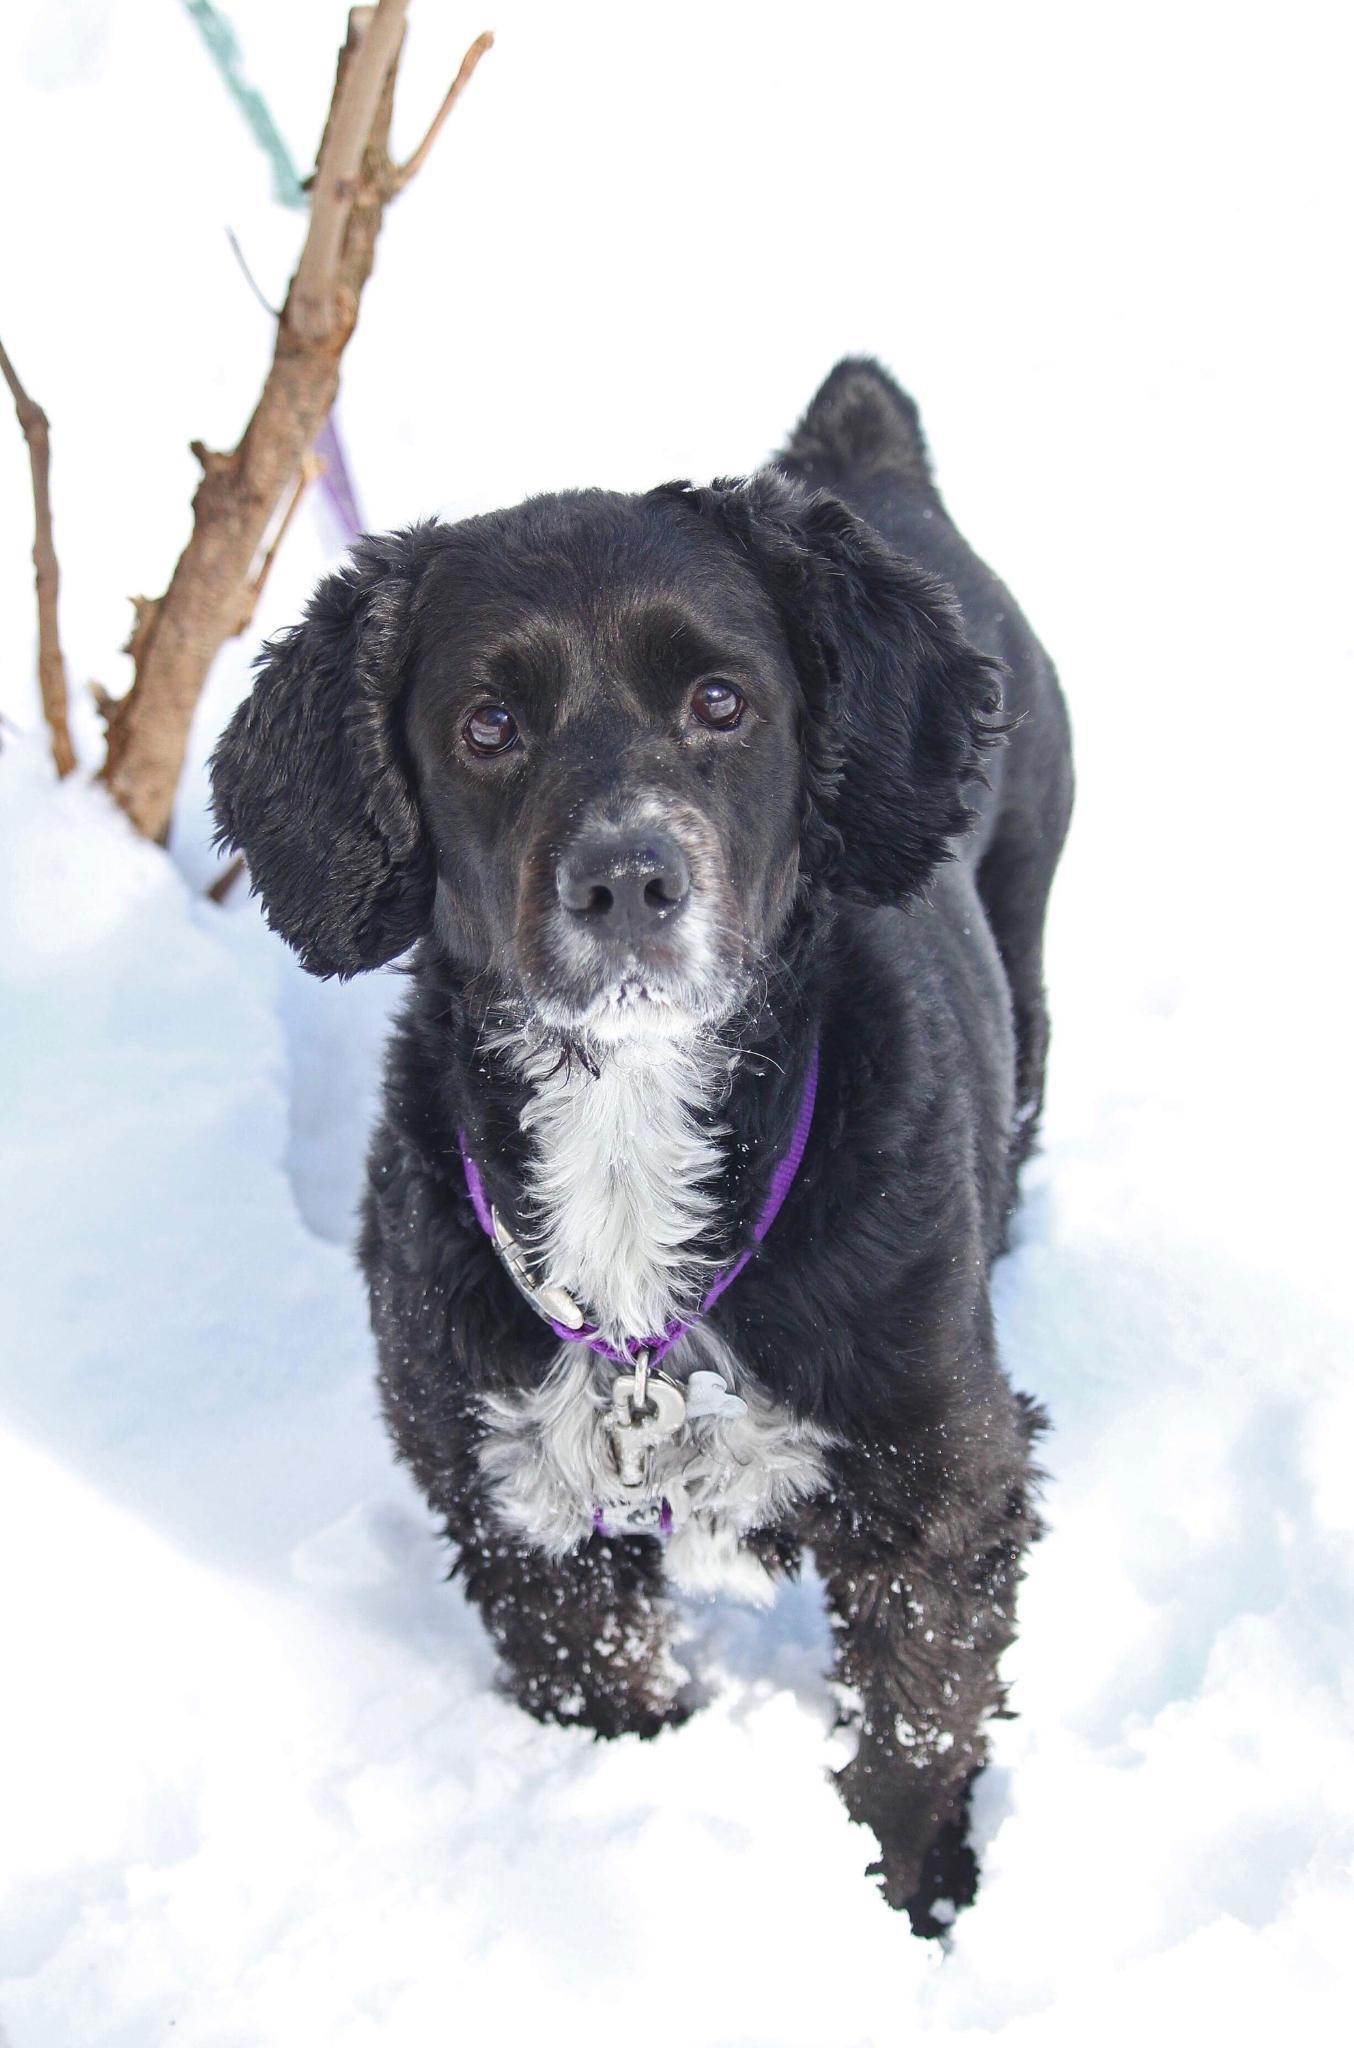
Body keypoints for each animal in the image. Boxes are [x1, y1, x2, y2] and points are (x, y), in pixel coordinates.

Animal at [210, 360, 1073, 1925]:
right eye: (488, 726)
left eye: (721, 700)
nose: (626, 874)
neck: (624, 1131)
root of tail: (859, 460)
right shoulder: (516, 1502)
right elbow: (603, 1686)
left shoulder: (942, 1484)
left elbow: (917, 1729)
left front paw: (921, 1909)